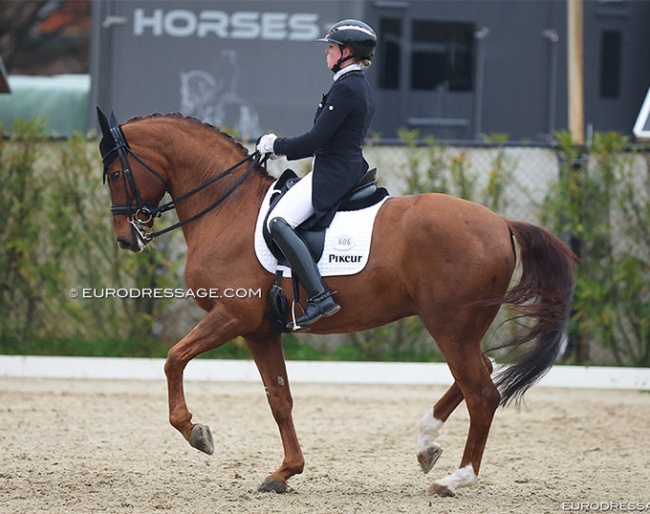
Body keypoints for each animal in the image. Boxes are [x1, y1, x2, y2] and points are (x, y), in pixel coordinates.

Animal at [95, 109, 572, 496]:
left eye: (116, 173)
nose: (126, 239)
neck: (225, 208)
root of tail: (501, 222)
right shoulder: (260, 330)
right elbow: (280, 399)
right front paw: (284, 473)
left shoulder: (232, 316)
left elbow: (174, 359)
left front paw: (197, 432)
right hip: (459, 328)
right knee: (481, 373)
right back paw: (426, 444)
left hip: (448, 325)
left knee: (482, 392)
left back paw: (455, 479)